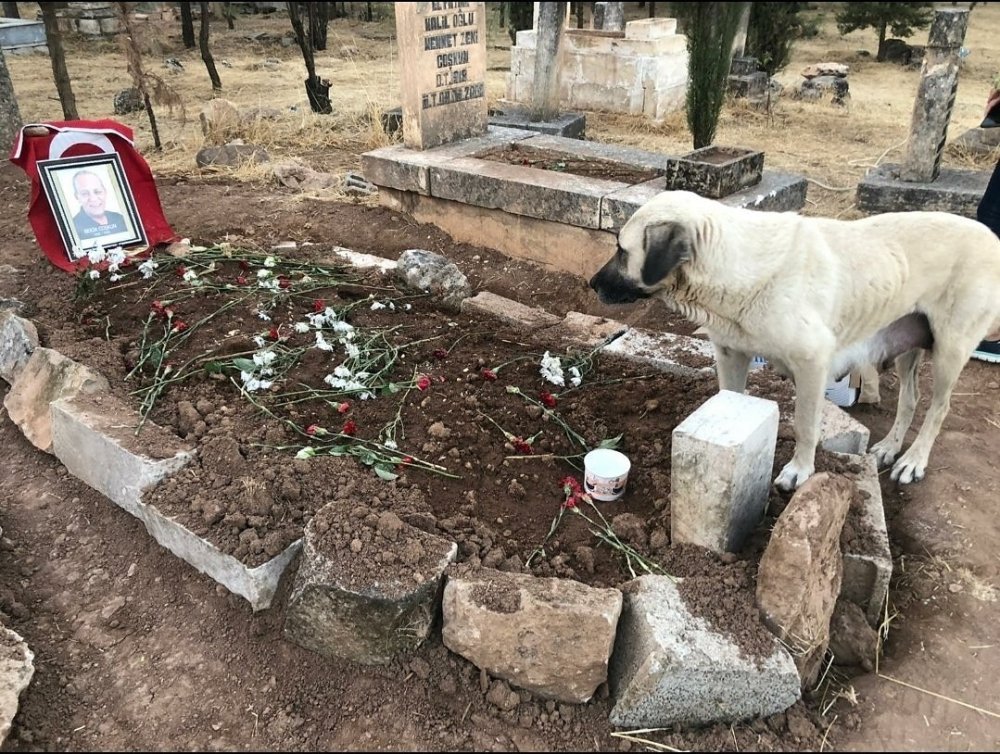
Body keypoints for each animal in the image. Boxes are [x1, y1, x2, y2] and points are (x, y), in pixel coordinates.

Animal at [589, 190, 1000, 491]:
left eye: (621, 250)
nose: (591, 284)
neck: (731, 263)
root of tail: (991, 237)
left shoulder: (813, 364)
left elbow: (805, 424)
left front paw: (800, 470)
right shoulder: (731, 354)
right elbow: (730, 399)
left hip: (949, 350)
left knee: (939, 408)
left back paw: (914, 461)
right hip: (909, 346)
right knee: (910, 400)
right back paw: (889, 447)